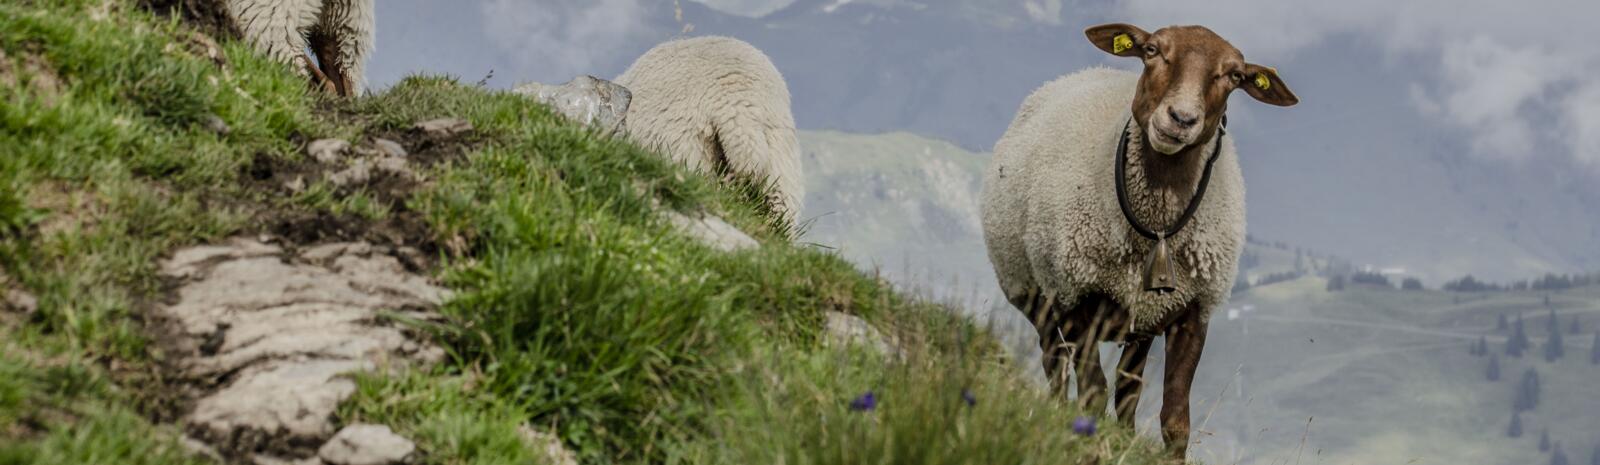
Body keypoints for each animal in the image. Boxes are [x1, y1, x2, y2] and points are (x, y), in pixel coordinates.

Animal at [972, 22, 1299, 460]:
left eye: (1233, 75)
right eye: (1151, 50)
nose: (1180, 119)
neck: (1157, 226)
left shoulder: (1193, 311)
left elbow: (1174, 420)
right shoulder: (1076, 297)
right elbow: (1092, 395)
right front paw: (1089, 444)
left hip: (1141, 318)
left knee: (1128, 388)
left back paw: (1124, 434)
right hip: (1039, 296)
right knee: (1056, 368)